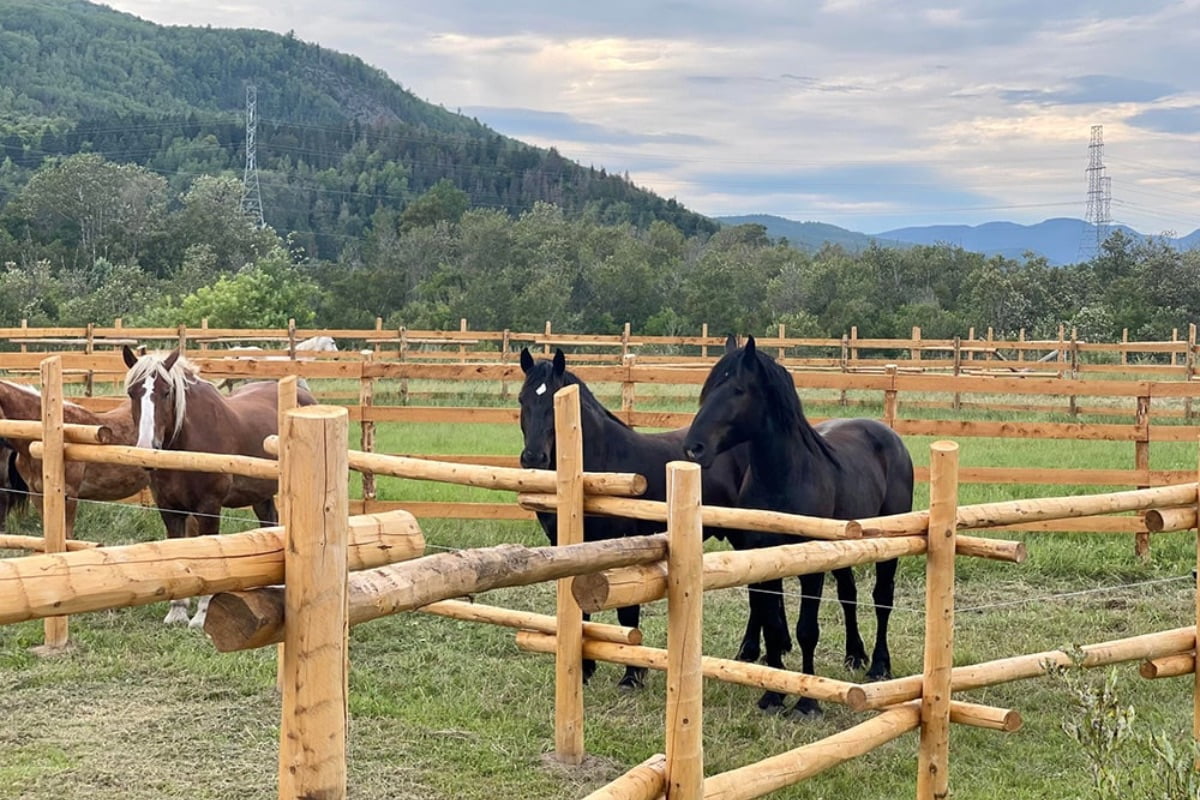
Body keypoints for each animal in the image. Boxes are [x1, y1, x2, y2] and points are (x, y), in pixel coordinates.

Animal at [121, 347, 316, 628]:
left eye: (166, 392)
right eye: (132, 392)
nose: (149, 447)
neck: (186, 446)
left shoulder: (209, 507)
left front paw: (202, 614)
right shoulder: (169, 508)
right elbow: (177, 551)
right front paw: (177, 611)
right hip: (260, 494)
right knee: (269, 524)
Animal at [518, 347, 748, 690]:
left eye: (553, 403)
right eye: (522, 399)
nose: (533, 457)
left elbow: (627, 612)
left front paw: (632, 675)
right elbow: (580, 609)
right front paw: (585, 670)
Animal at [686, 335, 907, 714]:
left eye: (738, 390)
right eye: (708, 389)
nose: (693, 448)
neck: (783, 479)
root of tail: (888, 436)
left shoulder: (811, 569)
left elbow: (807, 629)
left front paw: (807, 702)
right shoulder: (766, 561)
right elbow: (773, 625)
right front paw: (773, 695)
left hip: (886, 547)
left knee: (882, 599)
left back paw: (879, 665)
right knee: (849, 595)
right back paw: (854, 655)